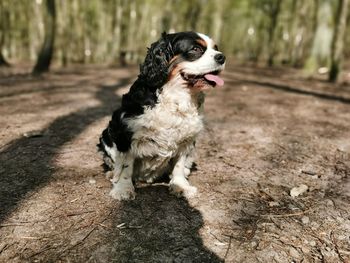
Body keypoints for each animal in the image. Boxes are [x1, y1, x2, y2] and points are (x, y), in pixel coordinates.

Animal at [97, 31, 226, 200]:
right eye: (196, 49)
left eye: (215, 48)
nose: (222, 57)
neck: (176, 97)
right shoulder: (125, 132)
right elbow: (125, 165)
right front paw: (123, 189)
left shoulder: (186, 139)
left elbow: (179, 164)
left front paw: (180, 185)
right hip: (106, 135)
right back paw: (112, 174)